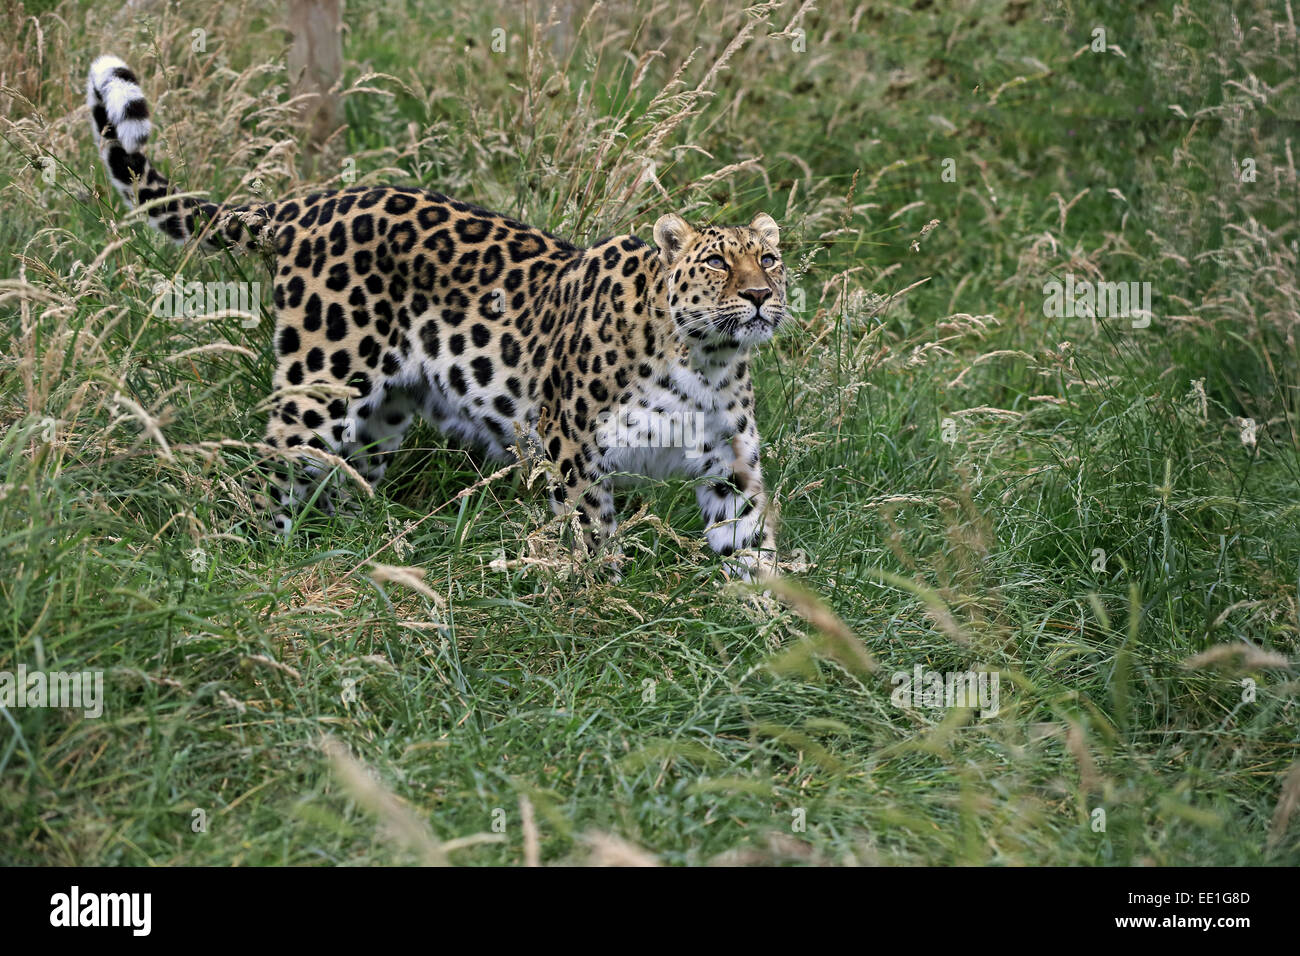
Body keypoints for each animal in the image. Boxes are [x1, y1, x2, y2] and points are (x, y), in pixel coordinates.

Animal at [87, 54, 787, 579]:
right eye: (718, 263)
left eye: (770, 259)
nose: (759, 296)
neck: (706, 359)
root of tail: (302, 205)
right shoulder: (571, 444)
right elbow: (593, 535)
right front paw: (602, 602)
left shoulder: (731, 464)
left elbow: (753, 546)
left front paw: (771, 633)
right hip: (321, 384)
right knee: (272, 467)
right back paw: (258, 557)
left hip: (383, 410)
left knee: (348, 478)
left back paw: (364, 546)